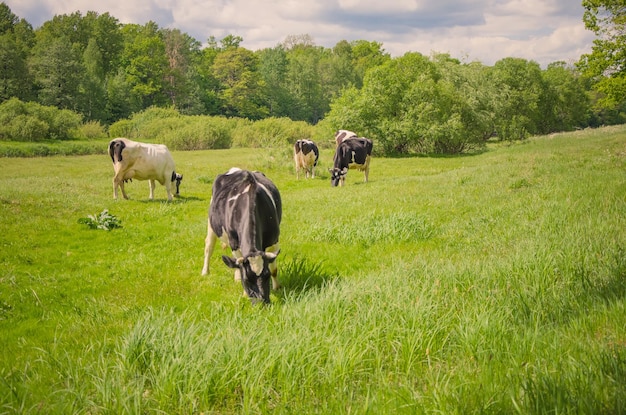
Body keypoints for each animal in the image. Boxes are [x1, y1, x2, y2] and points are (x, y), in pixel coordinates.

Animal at [201, 167, 282, 304]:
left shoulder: (274, 241)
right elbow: (240, 266)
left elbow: (274, 269)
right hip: (211, 223)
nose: (261, 302)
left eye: (266, 276)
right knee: (209, 247)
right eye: (247, 279)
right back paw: (205, 272)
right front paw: (244, 293)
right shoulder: (234, 243)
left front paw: (277, 288)